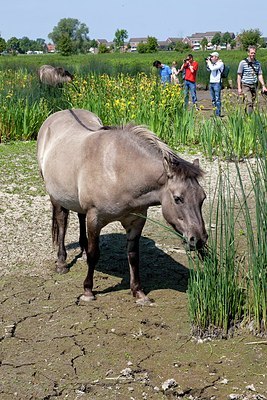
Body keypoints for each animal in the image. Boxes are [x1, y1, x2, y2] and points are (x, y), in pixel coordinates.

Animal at [37, 108, 209, 304]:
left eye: (202, 198)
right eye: (178, 198)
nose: (199, 239)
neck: (118, 170)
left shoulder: (136, 221)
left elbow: (133, 255)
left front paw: (139, 292)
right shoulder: (95, 218)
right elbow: (94, 254)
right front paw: (88, 291)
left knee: (80, 216)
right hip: (56, 197)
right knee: (62, 222)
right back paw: (62, 262)